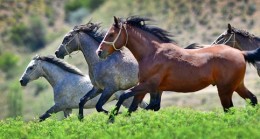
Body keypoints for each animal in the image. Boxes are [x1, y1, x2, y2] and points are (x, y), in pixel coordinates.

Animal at [96, 16, 258, 116]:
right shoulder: (150, 88)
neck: (152, 53)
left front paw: (112, 118)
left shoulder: (148, 85)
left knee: (229, 110)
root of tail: (241, 53)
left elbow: (125, 96)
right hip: (237, 86)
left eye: (111, 34)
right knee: (253, 99)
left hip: (225, 90)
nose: (99, 52)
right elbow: (139, 108)